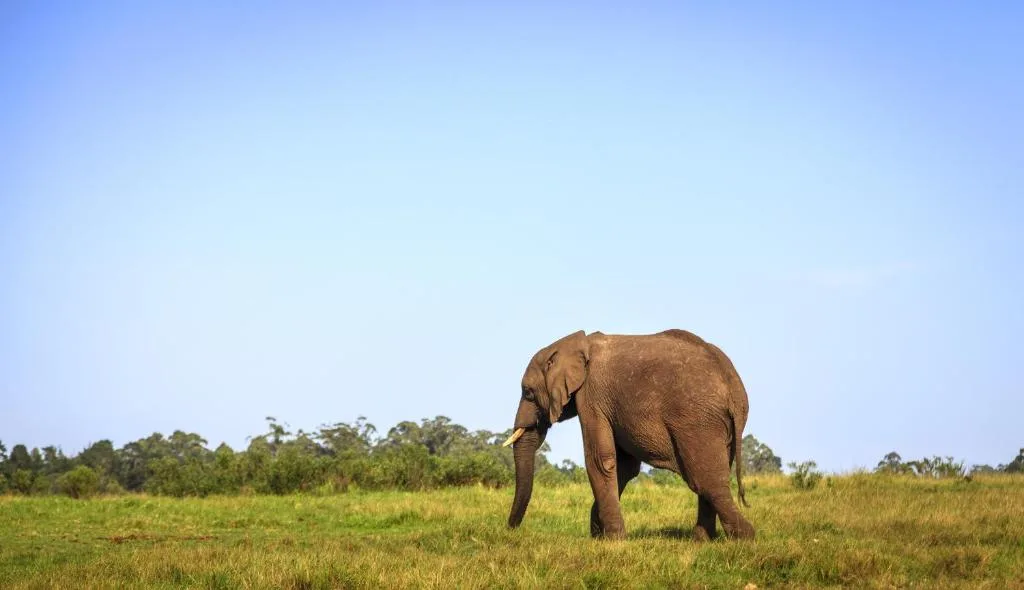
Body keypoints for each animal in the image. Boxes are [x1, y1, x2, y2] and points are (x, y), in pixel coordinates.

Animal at [502, 328, 755, 541]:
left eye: (528, 392)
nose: (510, 529)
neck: (577, 344)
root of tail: (732, 385)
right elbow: (624, 467)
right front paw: (600, 536)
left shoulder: (591, 396)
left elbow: (600, 461)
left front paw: (613, 540)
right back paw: (702, 541)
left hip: (697, 421)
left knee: (706, 481)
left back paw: (744, 538)